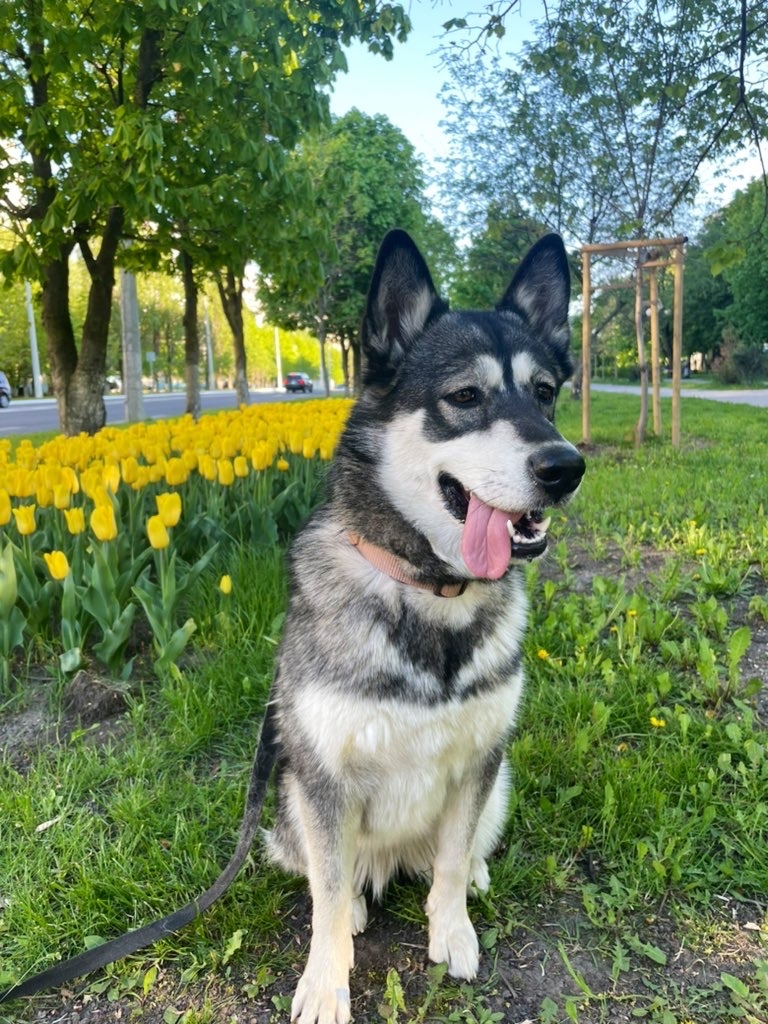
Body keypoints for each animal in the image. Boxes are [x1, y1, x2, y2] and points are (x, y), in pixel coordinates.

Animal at [268, 232, 585, 1024]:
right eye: (465, 397)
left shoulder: (480, 760)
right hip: (287, 791)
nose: (565, 467)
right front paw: (326, 981)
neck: (430, 593)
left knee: (454, 851)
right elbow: (324, 890)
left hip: (500, 785)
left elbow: (446, 859)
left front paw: (452, 929)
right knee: (335, 873)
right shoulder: (322, 774)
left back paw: (471, 875)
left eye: (545, 393)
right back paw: (356, 902)